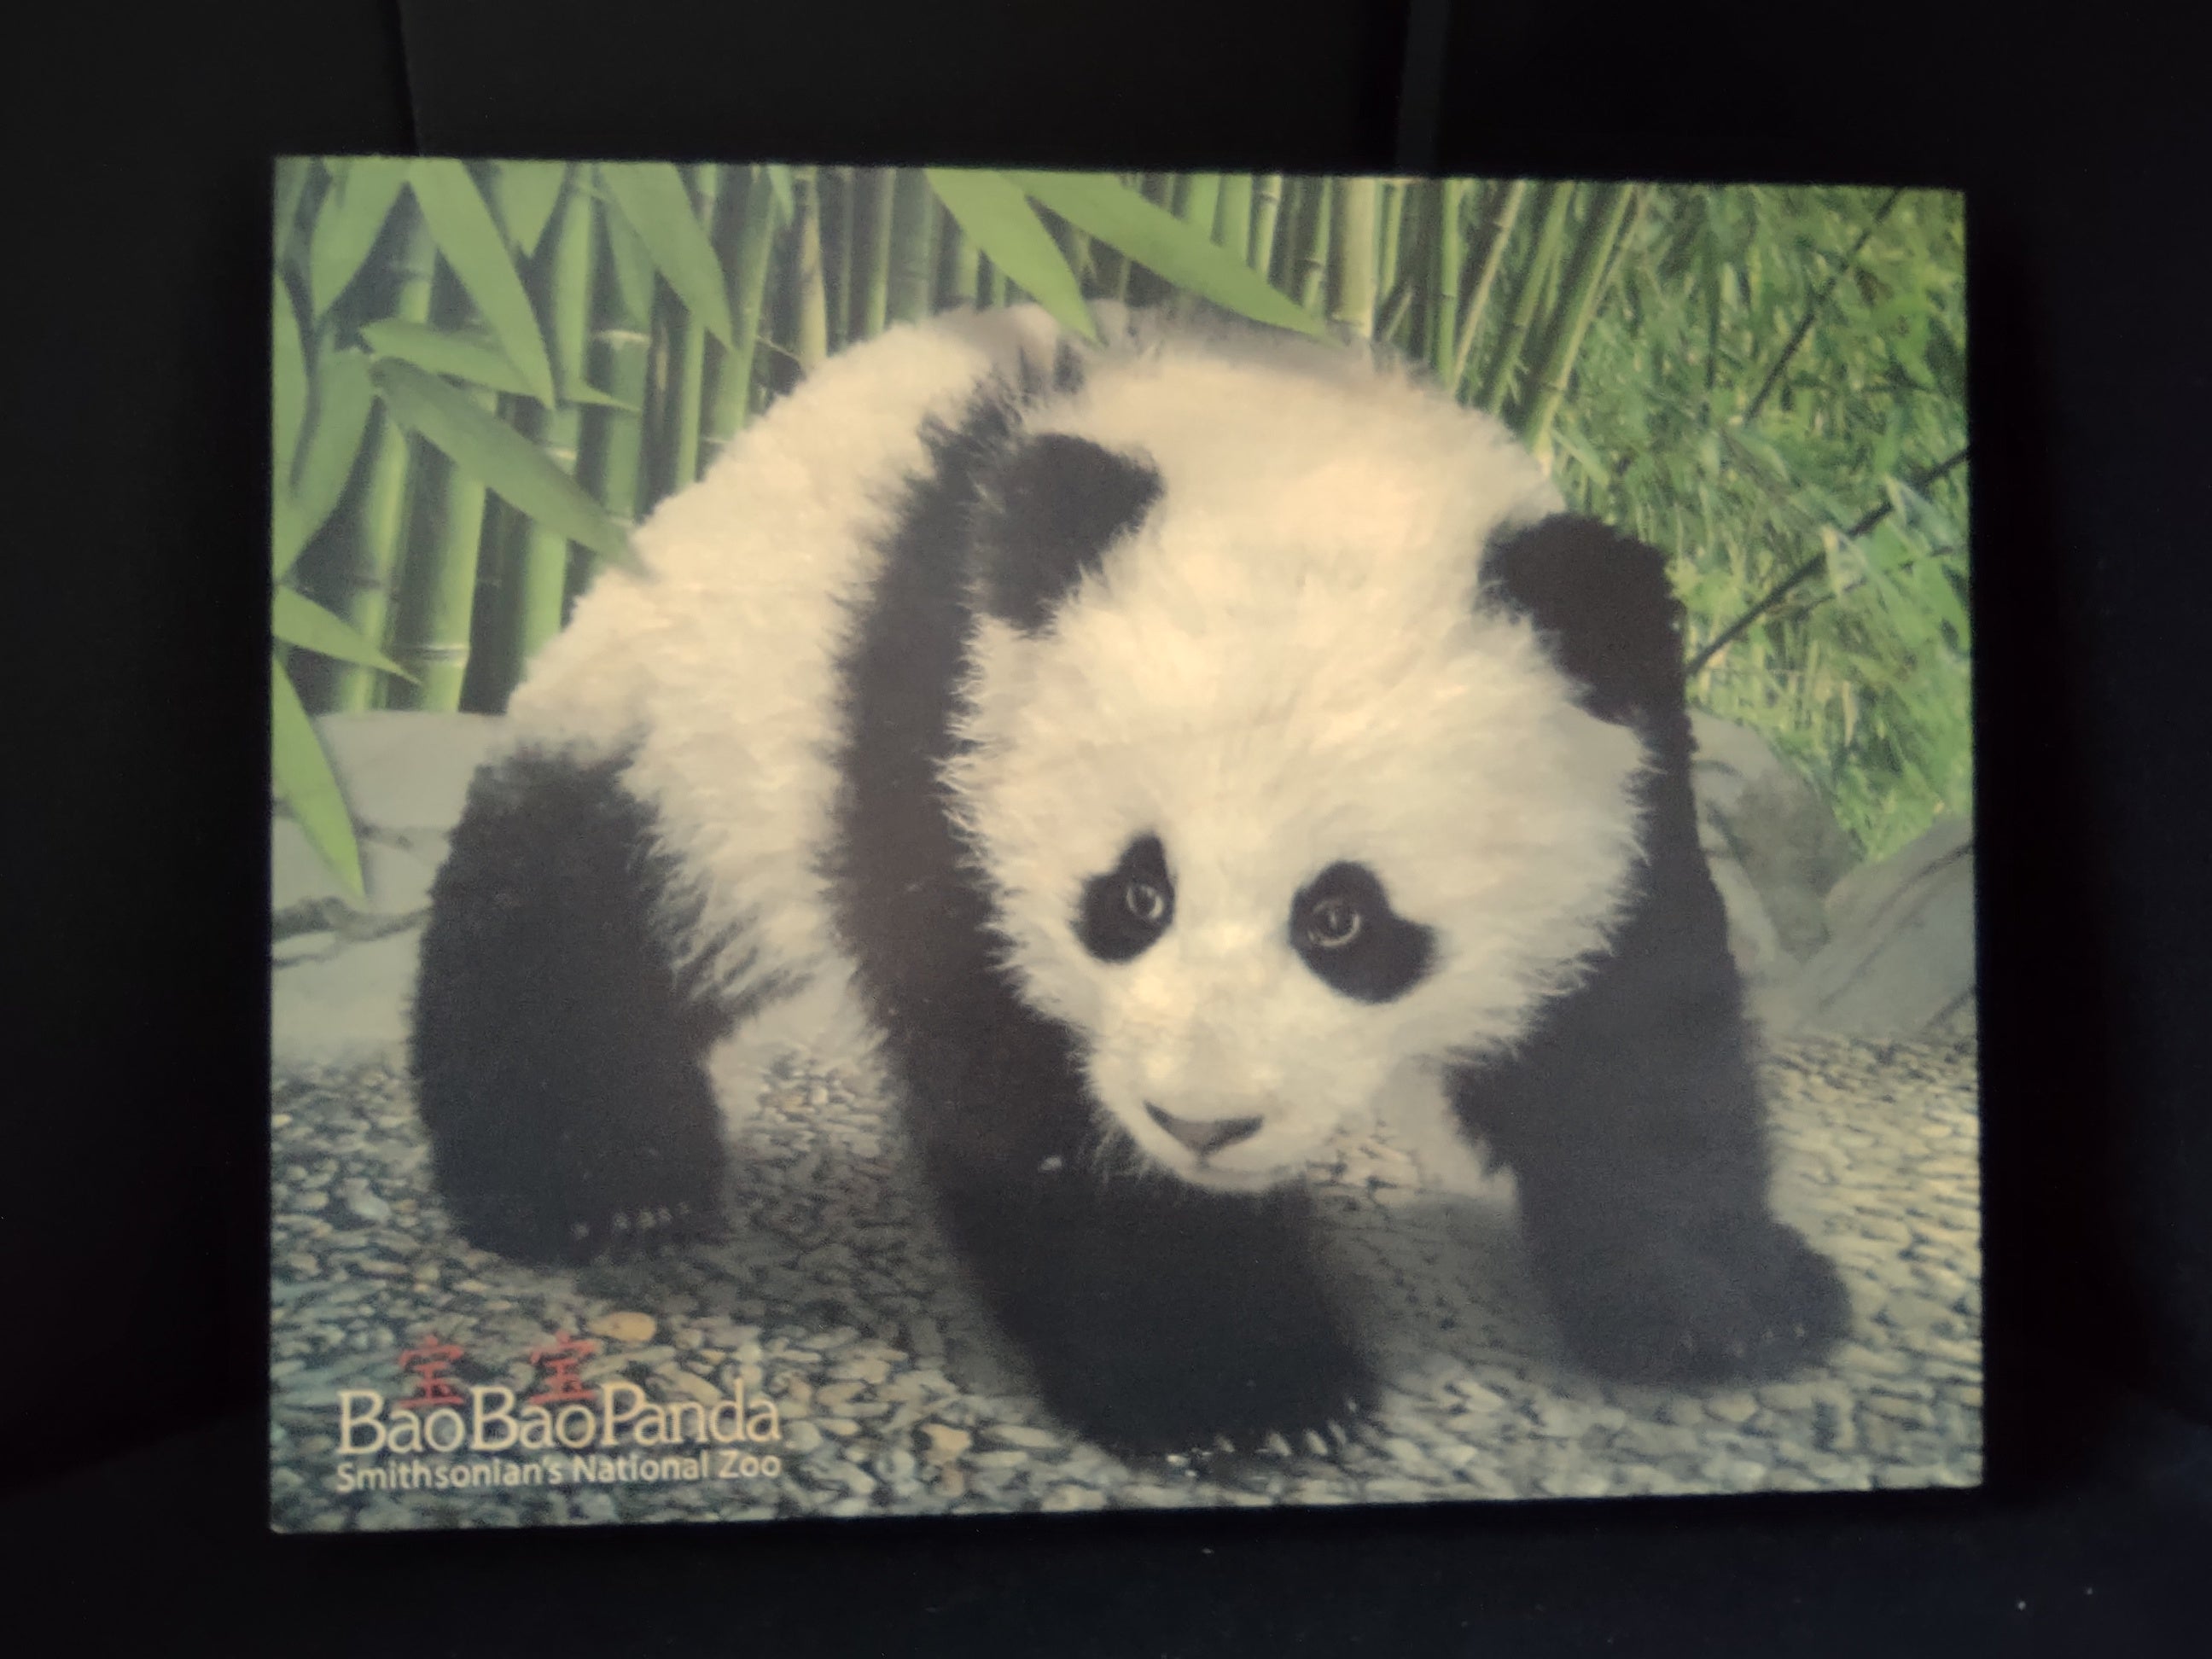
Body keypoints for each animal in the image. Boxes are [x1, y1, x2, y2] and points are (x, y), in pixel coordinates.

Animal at [412, 302, 1849, 1458]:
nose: (1203, 1125)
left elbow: (1630, 1034)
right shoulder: (946, 733)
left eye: (1345, 920)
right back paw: (599, 1189)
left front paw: (1731, 1308)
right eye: (1132, 897)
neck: (1301, 458)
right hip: (688, 729)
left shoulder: (1620, 765)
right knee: (572, 912)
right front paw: (1241, 1392)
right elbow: (1029, 1084)